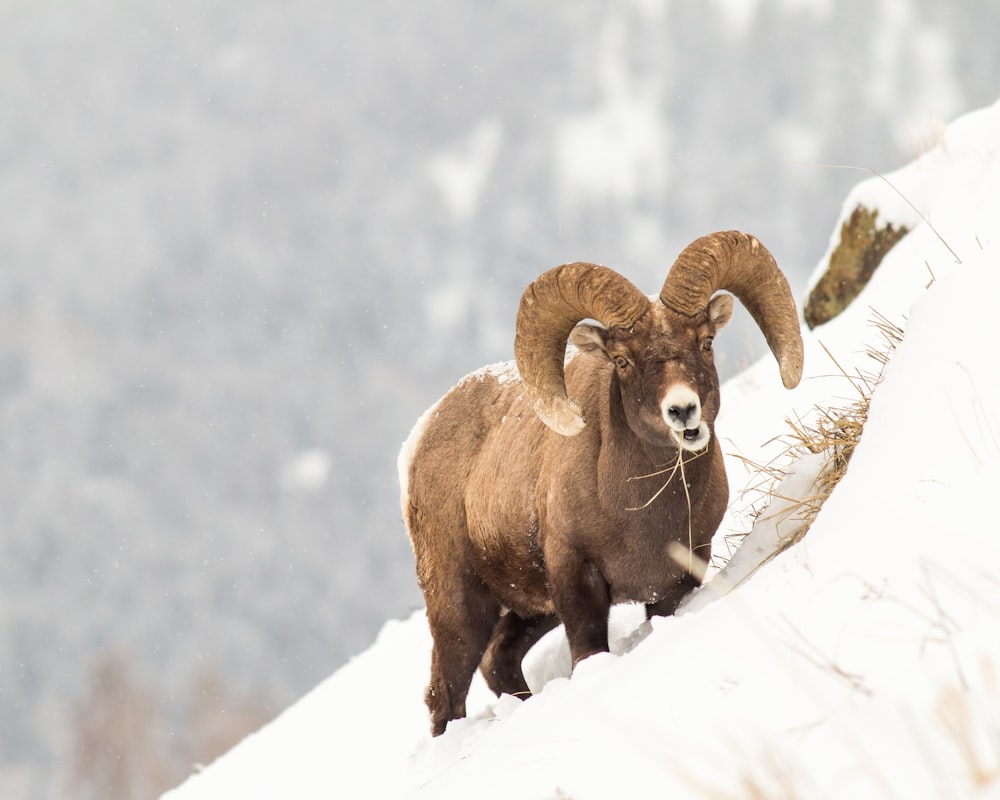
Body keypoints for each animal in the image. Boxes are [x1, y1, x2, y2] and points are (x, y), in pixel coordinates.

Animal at [398, 228, 804, 736]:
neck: (641, 511)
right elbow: (588, 652)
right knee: (446, 695)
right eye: (622, 360)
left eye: (706, 341)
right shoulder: (577, 581)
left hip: (532, 612)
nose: (683, 411)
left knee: (497, 661)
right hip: (459, 607)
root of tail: (419, 439)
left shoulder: (676, 580)